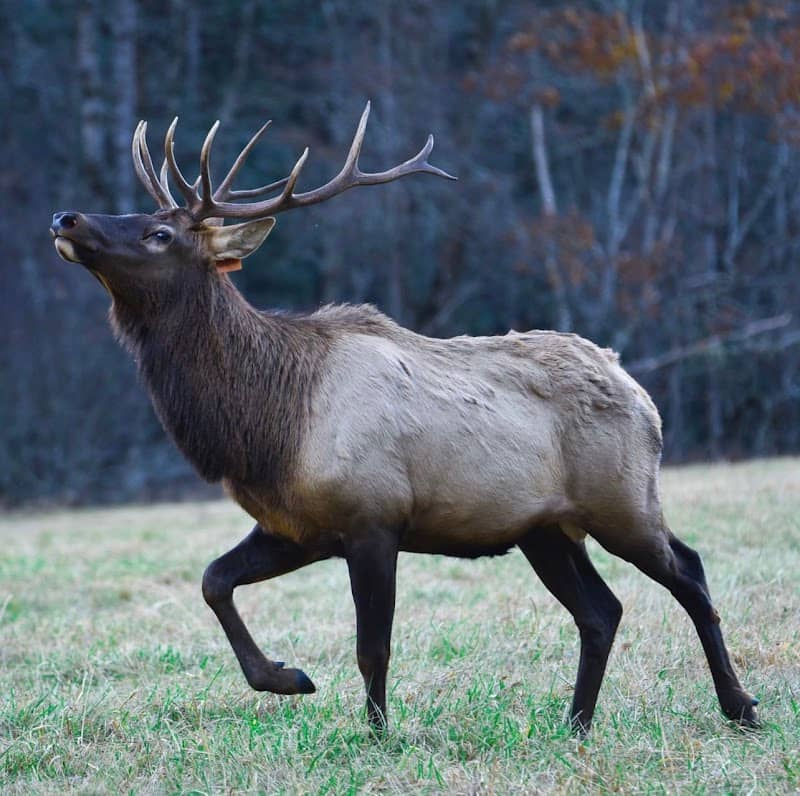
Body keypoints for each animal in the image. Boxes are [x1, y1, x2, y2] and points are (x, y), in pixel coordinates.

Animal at [50, 103, 758, 736]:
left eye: (159, 233)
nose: (66, 215)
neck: (269, 425)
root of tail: (636, 387)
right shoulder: (296, 526)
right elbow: (213, 581)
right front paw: (288, 677)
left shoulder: (374, 516)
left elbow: (373, 646)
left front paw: (376, 734)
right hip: (546, 529)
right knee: (602, 611)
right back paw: (577, 724)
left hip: (622, 500)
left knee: (689, 572)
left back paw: (740, 708)